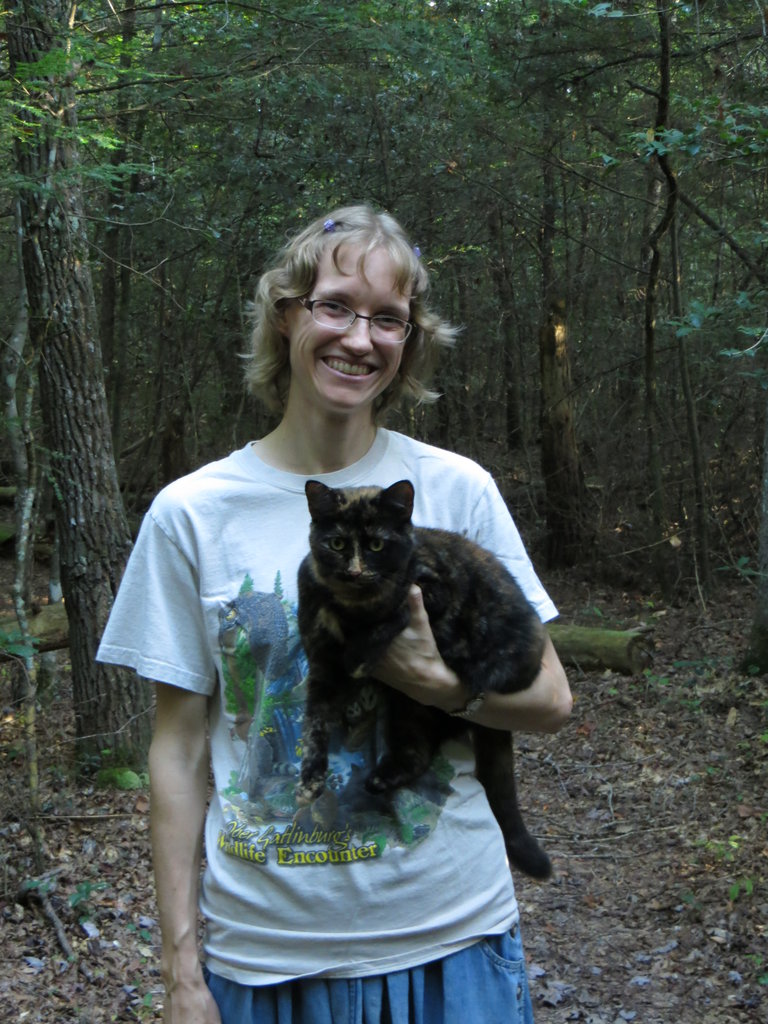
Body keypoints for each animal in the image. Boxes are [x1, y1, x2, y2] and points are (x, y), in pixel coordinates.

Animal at [295, 478, 552, 879]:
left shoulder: (431, 589)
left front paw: (359, 653)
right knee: (417, 754)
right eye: (336, 544)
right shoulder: (321, 667)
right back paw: (381, 778)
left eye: (376, 545)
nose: (355, 571)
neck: (349, 603)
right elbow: (314, 725)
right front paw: (310, 779)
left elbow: (393, 609)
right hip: (407, 708)